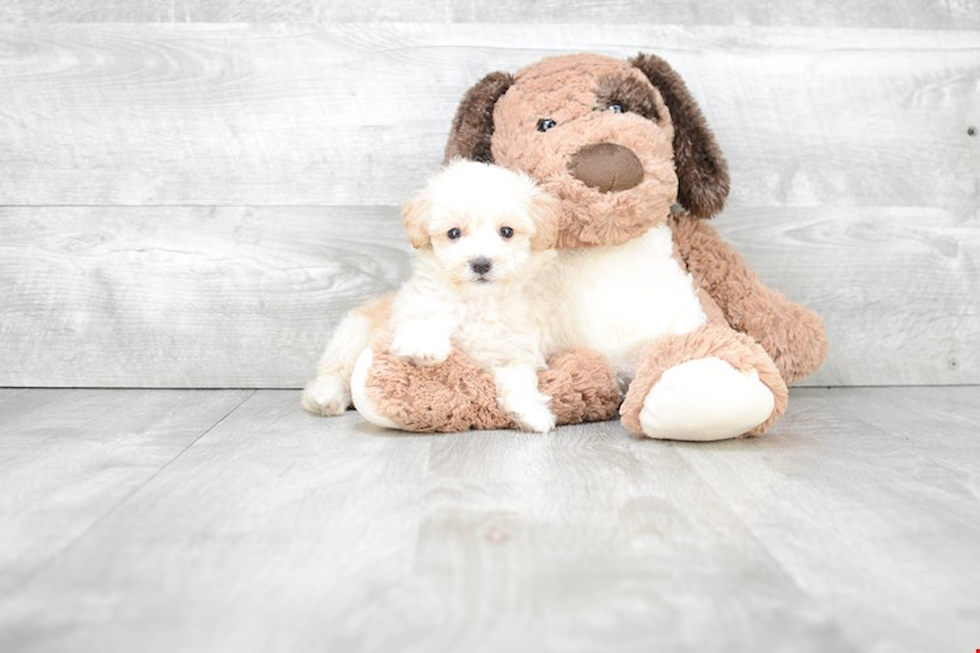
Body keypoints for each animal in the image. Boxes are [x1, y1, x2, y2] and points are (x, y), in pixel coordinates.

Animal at [300, 159, 560, 428]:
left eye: (507, 232)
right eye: (453, 233)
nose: (480, 263)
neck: (476, 302)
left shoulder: (513, 349)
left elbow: (519, 377)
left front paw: (531, 412)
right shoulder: (419, 304)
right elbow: (425, 320)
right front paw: (423, 346)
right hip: (351, 336)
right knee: (333, 373)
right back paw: (324, 397)